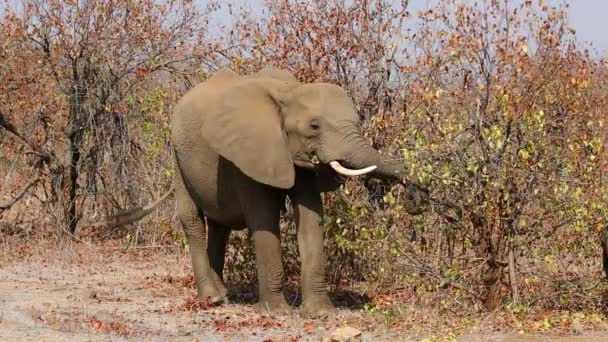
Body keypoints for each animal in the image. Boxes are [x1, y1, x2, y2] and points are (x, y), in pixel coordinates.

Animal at [162, 67, 428, 316]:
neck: (288, 92)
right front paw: (276, 311)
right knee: (193, 222)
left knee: (220, 226)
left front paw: (319, 312)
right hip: (177, 155)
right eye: (314, 126)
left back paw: (223, 295)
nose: (414, 202)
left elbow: (311, 218)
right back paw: (212, 297)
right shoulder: (250, 153)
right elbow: (264, 218)